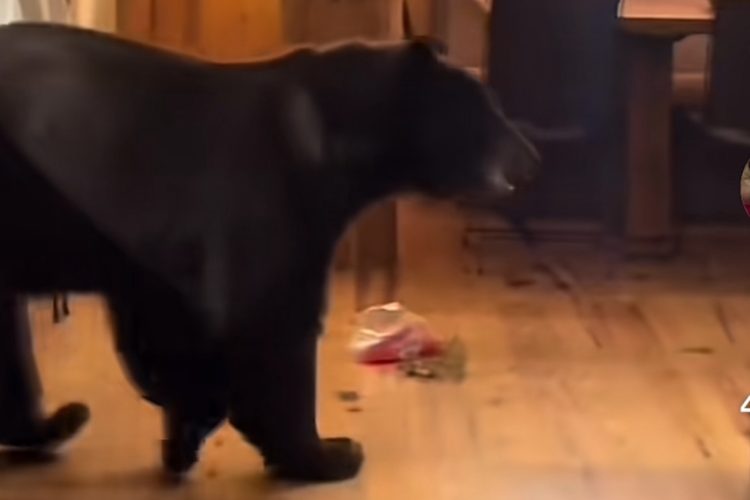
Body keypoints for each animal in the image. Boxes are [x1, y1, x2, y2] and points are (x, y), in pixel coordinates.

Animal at [0, 22, 539, 482]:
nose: (532, 153)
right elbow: (278, 339)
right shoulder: (272, 226)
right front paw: (322, 455)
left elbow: (169, 338)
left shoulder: (158, 258)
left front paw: (187, 431)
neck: (335, 144)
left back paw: (53, 425)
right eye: (487, 108)